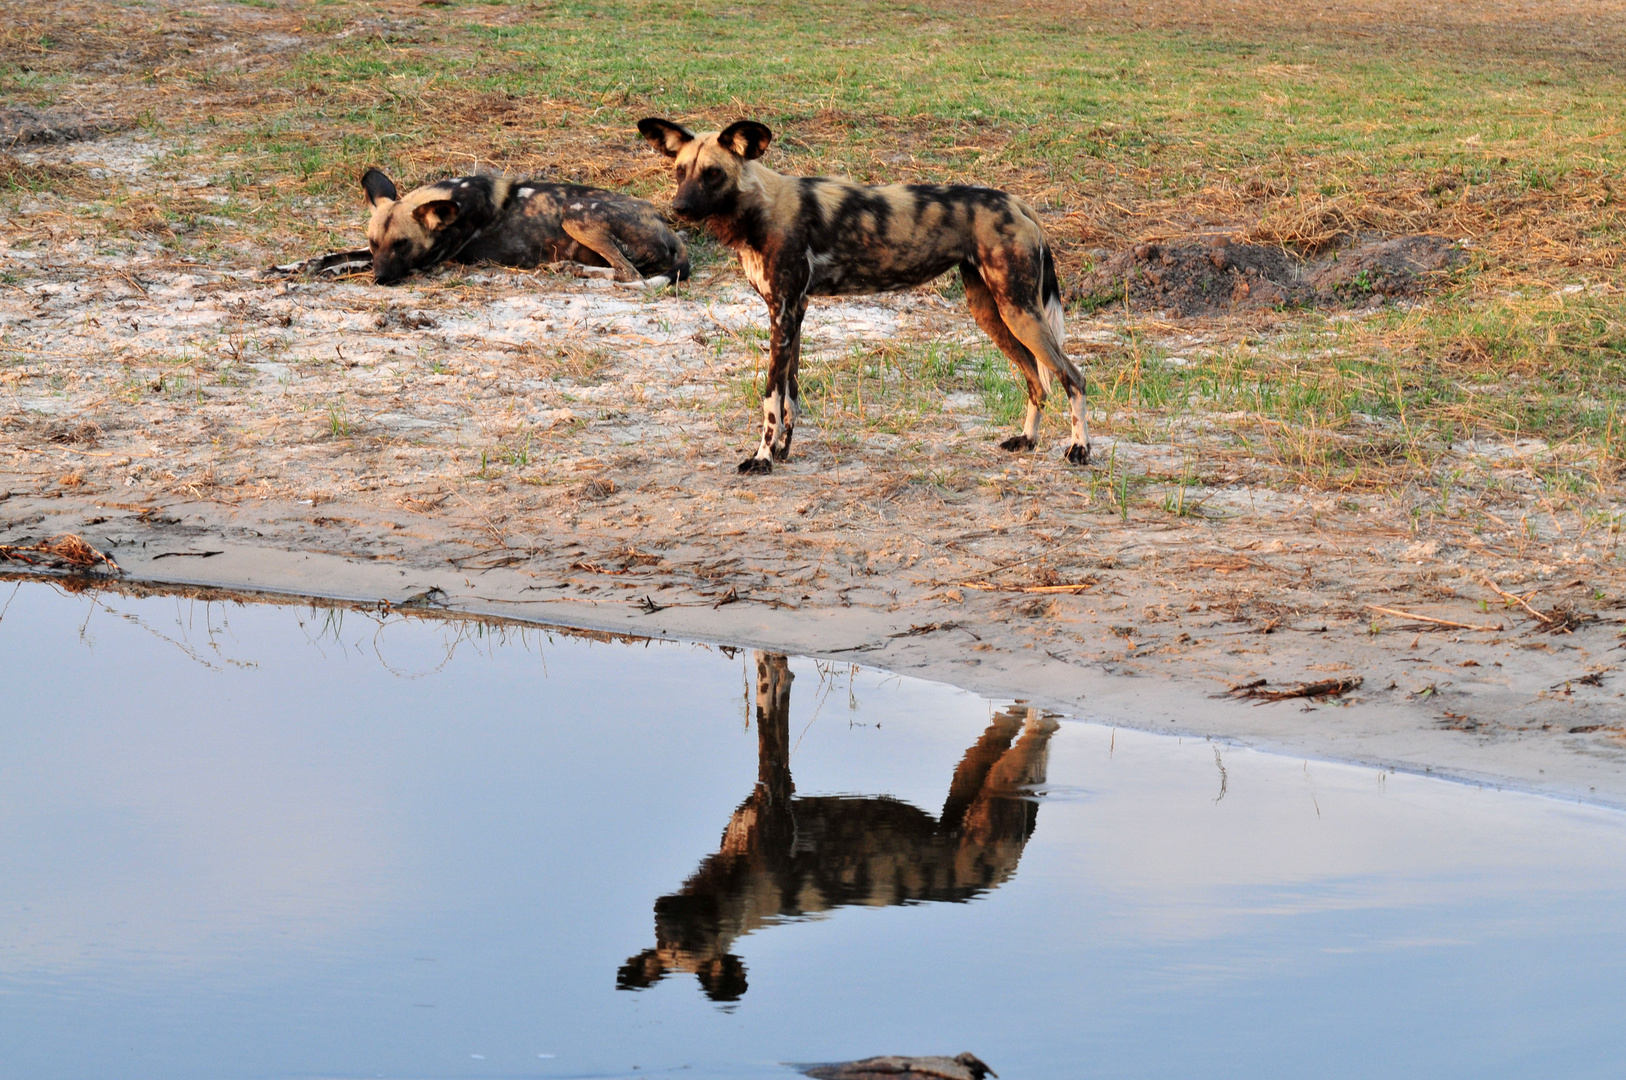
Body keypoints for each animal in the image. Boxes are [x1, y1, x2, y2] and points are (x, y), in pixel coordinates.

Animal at [359, 169, 689, 289]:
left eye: (402, 244)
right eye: (374, 242)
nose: (380, 279)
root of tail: (663, 221)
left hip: (574, 212)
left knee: (628, 273)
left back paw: (574, 269)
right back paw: (569, 267)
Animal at [634, 117, 1092, 471]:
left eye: (712, 173)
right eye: (681, 171)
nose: (678, 208)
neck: (758, 209)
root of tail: (1016, 202)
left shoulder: (781, 313)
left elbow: (770, 399)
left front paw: (762, 458)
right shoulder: (794, 311)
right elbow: (790, 396)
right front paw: (782, 452)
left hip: (1019, 311)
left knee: (1072, 376)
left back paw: (1079, 449)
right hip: (993, 313)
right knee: (1037, 381)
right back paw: (1027, 440)